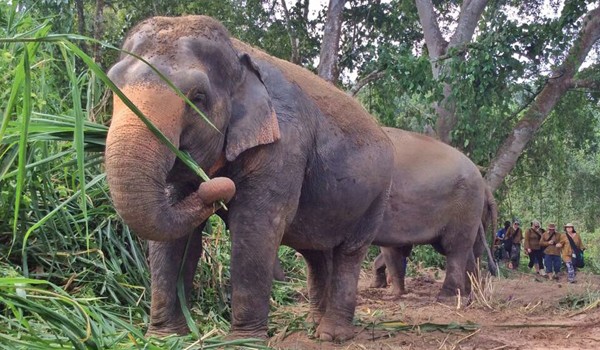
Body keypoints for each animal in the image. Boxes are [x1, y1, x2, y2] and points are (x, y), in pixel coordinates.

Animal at [103, 15, 394, 342]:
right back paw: (313, 327)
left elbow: (255, 226)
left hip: (378, 195)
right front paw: (165, 338)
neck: (236, 51)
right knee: (316, 254)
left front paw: (243, 342)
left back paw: (332, 335)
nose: (217, 188)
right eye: (111, 84)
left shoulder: (284, 144)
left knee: (349, 252)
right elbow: (173, 238)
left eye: (198, 97)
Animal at [368, 128, 500, 298]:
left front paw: (394, 294)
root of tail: (484, 184)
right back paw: (471, 293)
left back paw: (447, 296)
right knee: (468, 249)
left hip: (465, 205)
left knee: (455, 246)